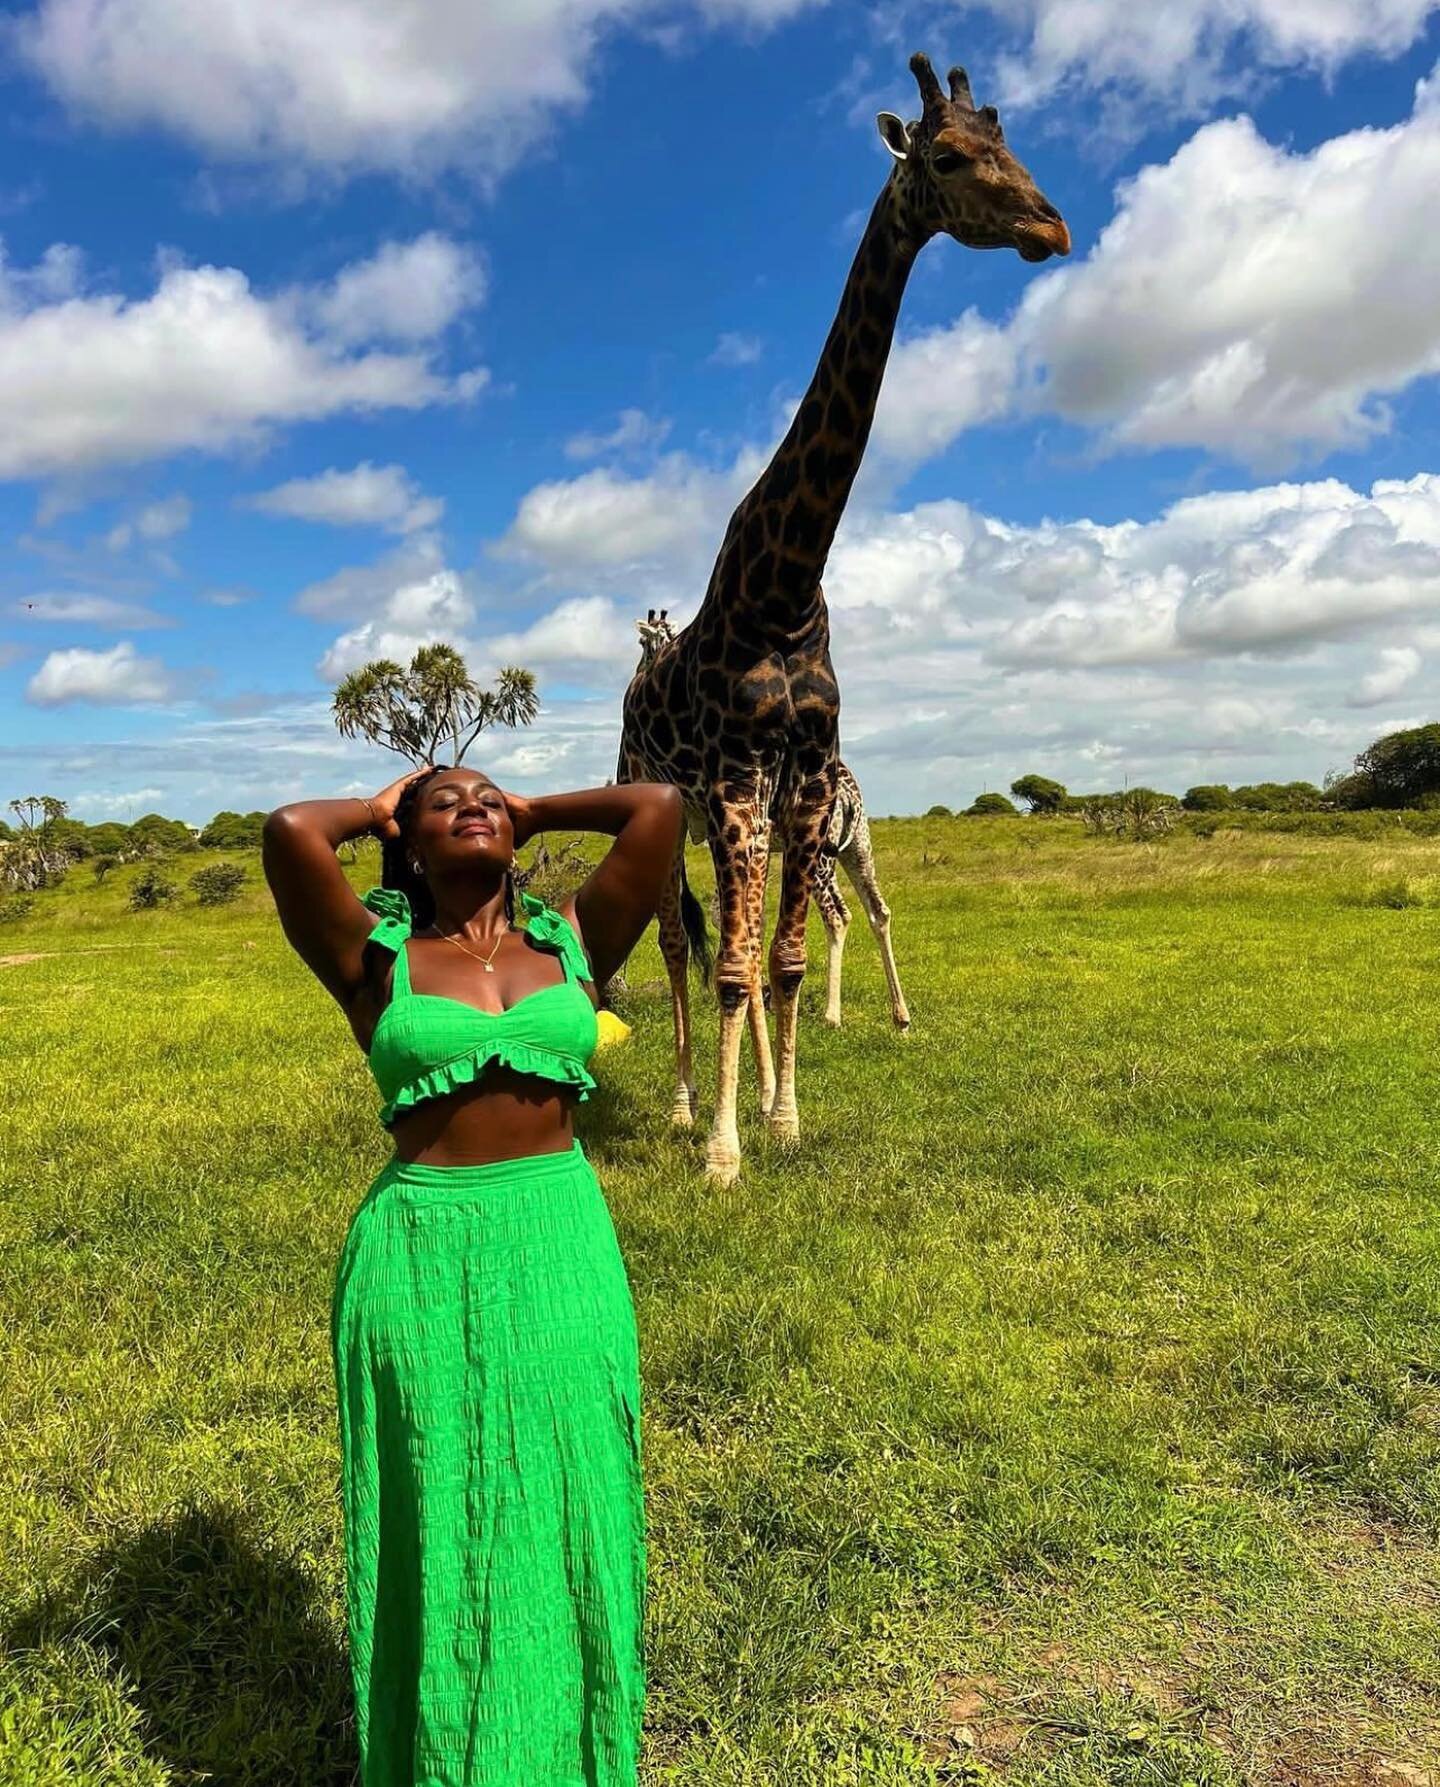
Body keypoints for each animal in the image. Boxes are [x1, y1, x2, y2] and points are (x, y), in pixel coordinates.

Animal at [621, 48, 1071, 1179]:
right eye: (948, 157)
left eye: (1010, 144)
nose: (1052, 229)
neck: (785, 587)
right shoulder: (737, 780)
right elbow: (732, 964)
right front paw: (723, 1152)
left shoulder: (808, 782)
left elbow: (778, 960)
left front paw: (782, 1115)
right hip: (661, 798)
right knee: (680, 941)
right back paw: (685, 1105)